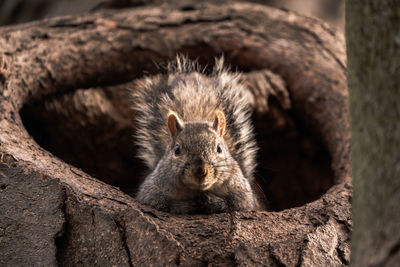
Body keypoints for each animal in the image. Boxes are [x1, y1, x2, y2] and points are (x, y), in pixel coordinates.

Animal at [130, 55, 260, 215]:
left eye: (219, 148)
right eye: (177, 150)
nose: (200, 171)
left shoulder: (243, 194)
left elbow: (238, 206)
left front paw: (212, 201)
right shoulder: (152, 190)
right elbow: (161, 204)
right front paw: (184, 205)